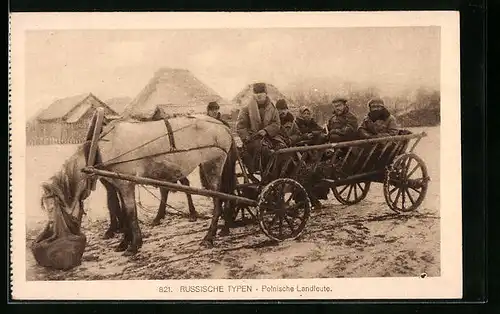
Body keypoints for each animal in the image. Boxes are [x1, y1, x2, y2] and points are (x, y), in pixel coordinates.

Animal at [34, 113, 237, 268]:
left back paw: (209, 236)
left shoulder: (126, 184)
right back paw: (224, 228)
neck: (101, 148)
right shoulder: (119, 184)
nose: (50, 235)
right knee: (226, 196)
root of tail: (223, 126)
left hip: (212, 165)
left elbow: (130, 214)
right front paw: (124, 242)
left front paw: (133, 245)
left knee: (218, 200)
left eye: (52, 208)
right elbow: (122, 211)